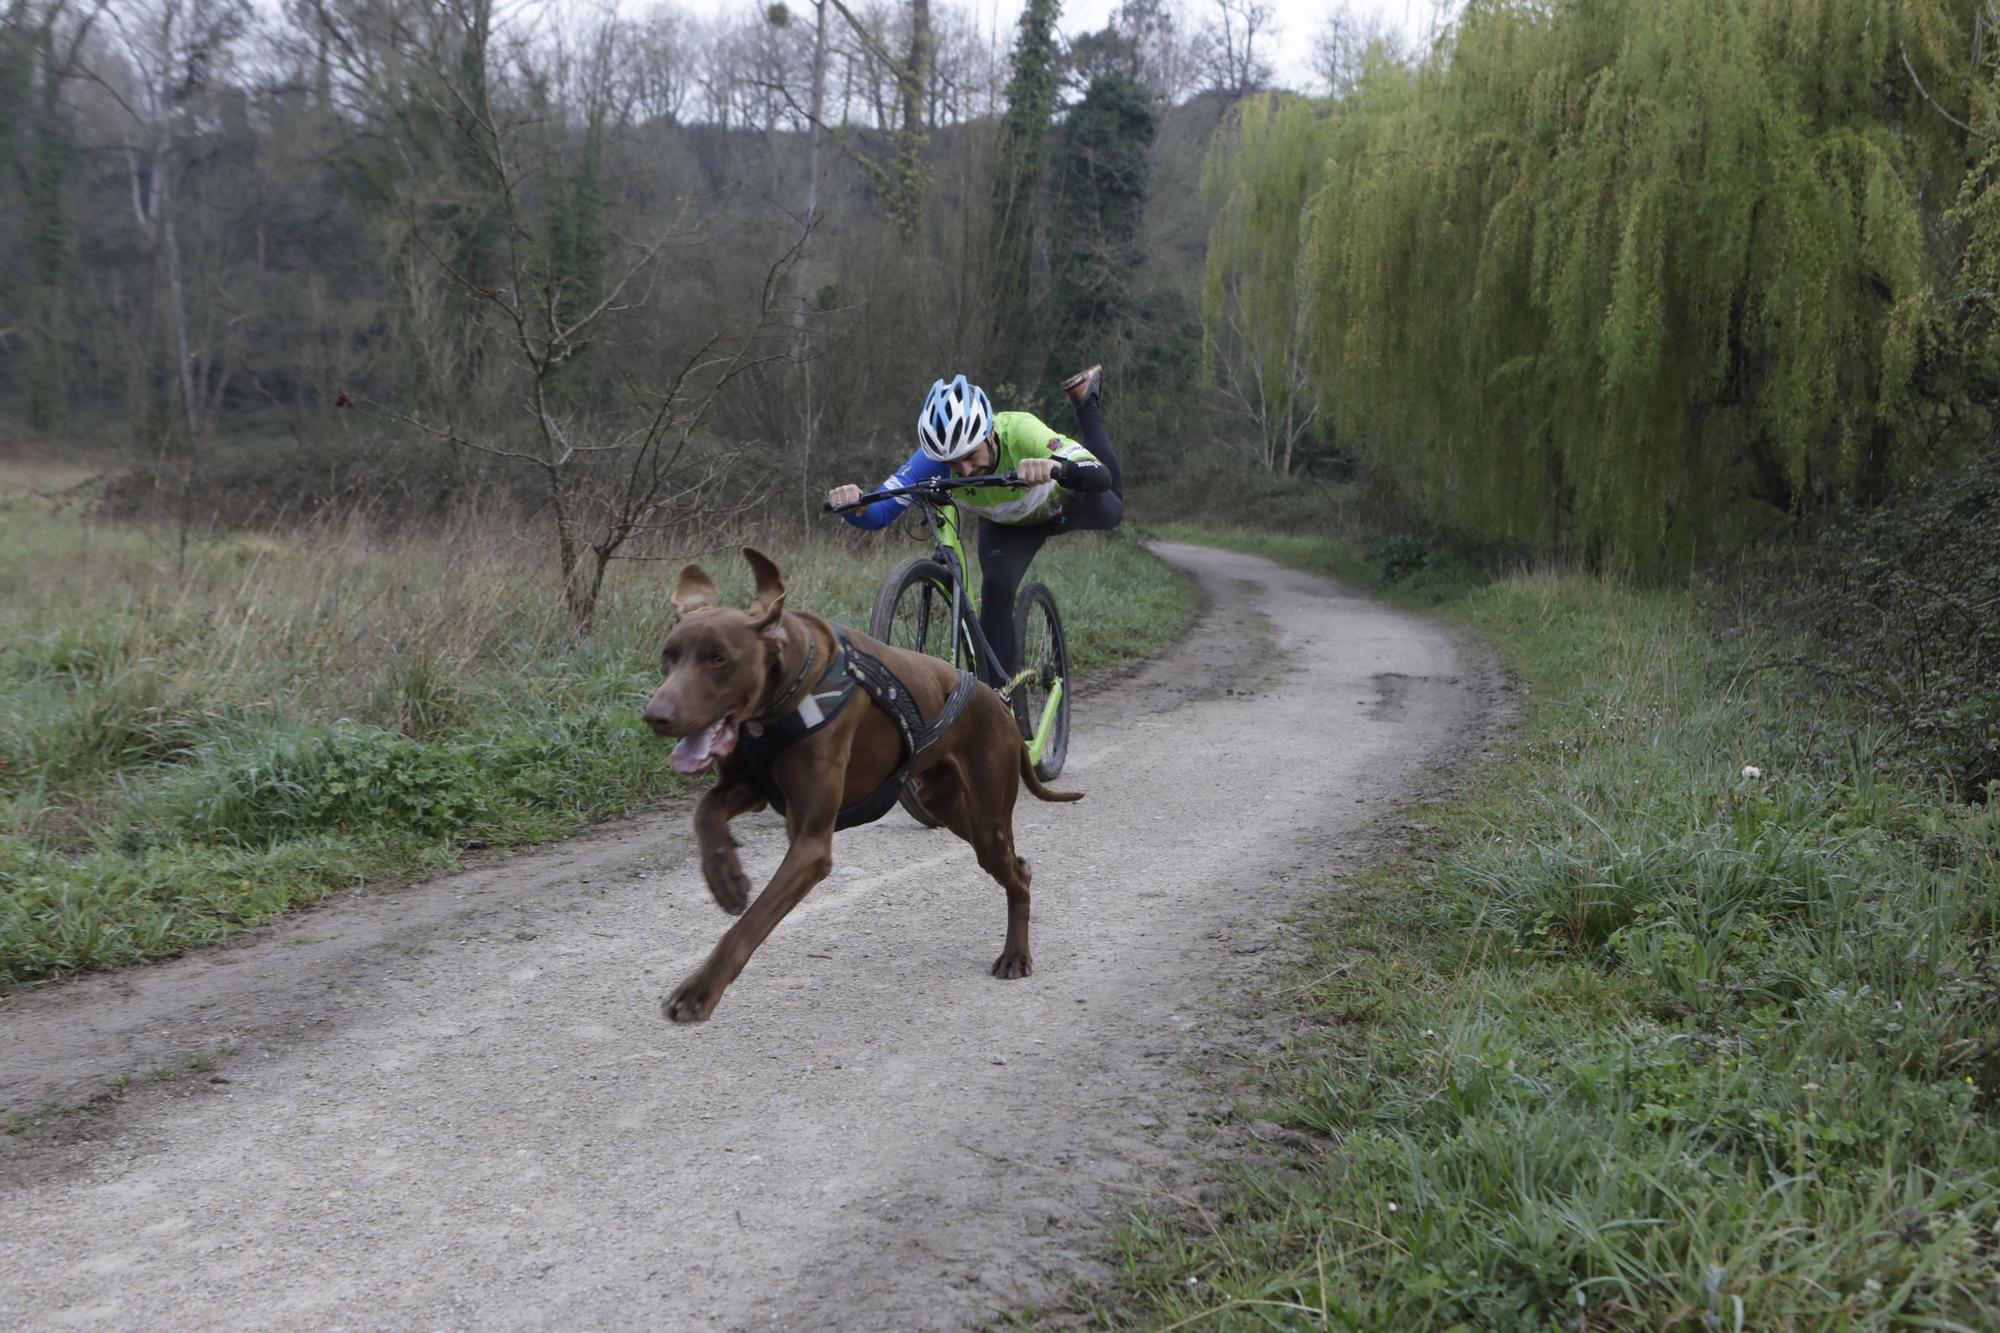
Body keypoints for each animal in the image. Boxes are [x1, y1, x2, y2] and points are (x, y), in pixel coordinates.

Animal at [640, 540, 1080, 1016]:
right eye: (668, 657)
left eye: (718, 659)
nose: (654, 716)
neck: (787, 691)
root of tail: (999, 702)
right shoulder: (750, 786)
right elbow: (705, 813)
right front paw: (726, 879)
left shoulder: (810, 845)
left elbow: (751, 924)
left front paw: (699, 990)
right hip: (947, 804)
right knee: (1020, 865)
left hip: (986, 815)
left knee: (1017, 876)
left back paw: (1015, 955)